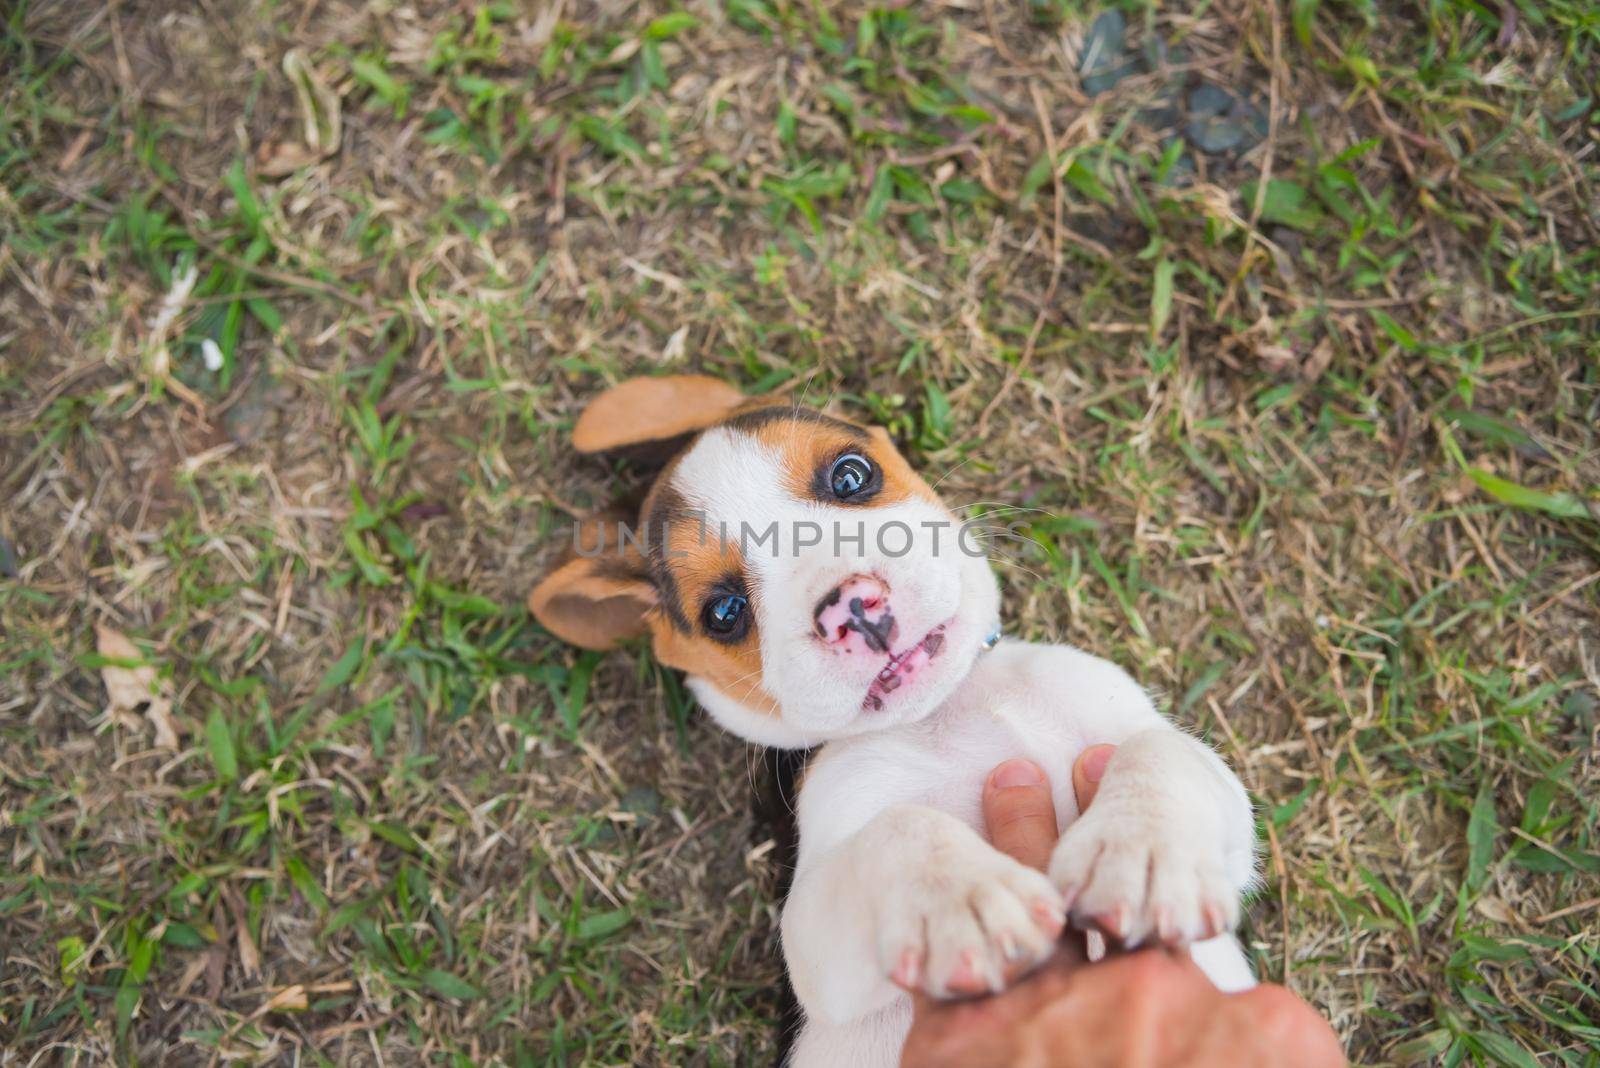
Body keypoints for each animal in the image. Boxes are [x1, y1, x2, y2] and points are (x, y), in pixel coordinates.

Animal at [531, 377, 1254, 1068]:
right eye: (725, 613)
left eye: (851, 477)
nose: (852, 606)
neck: (948, 710)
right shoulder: (810, 935)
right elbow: (897, 829)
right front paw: (961, 899)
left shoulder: (1198, 786)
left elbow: (1162, 752)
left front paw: (1144, 853)